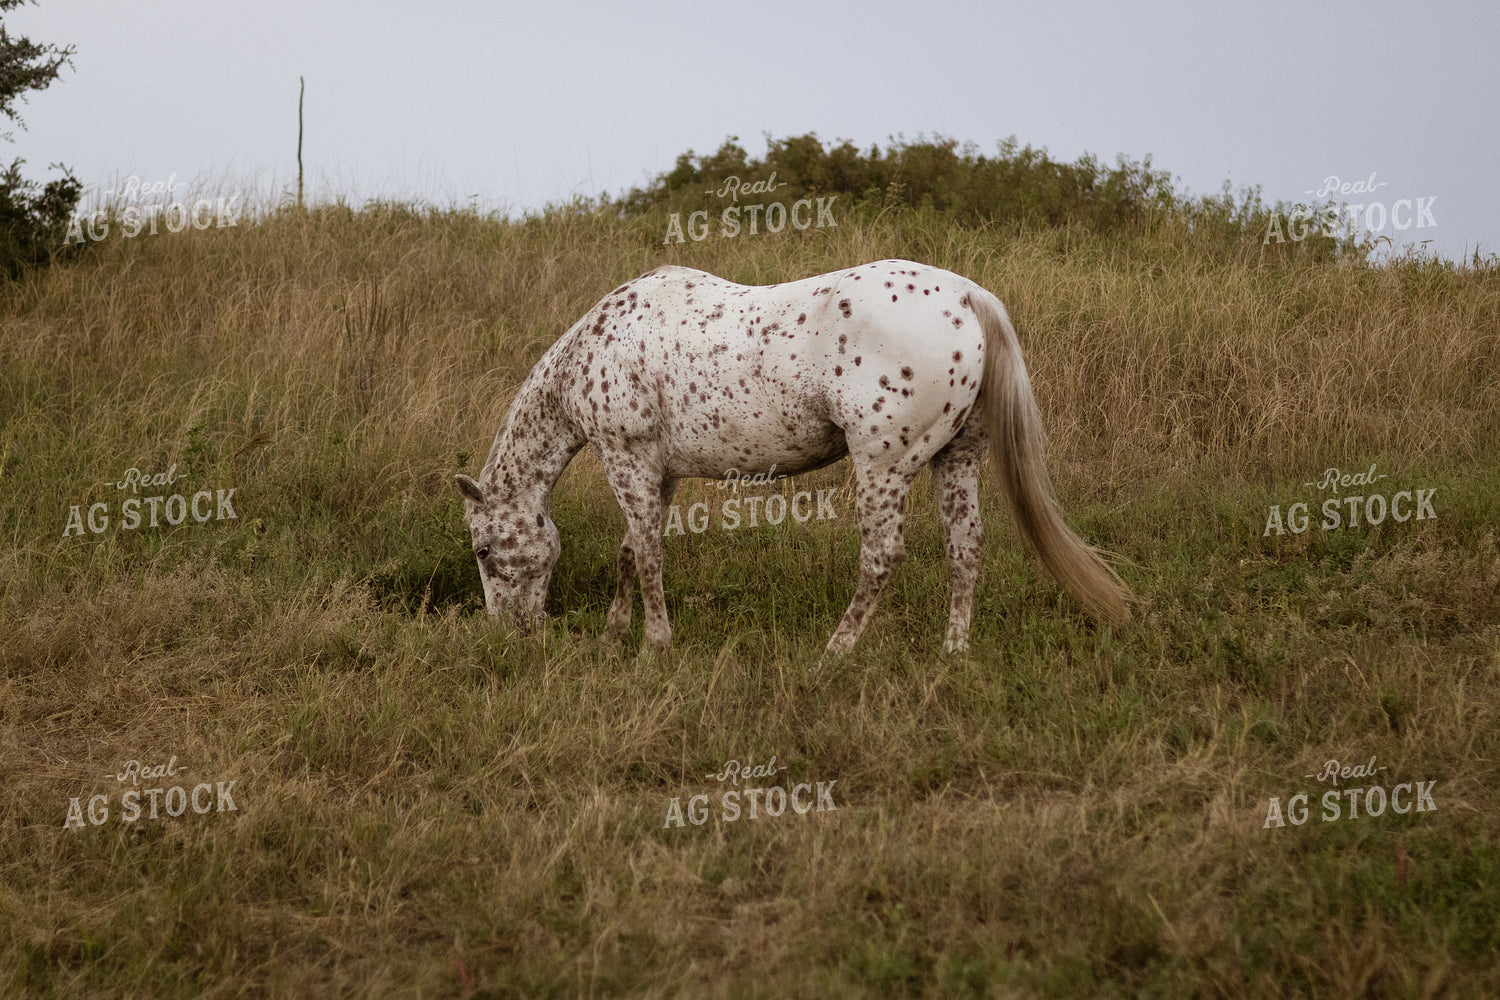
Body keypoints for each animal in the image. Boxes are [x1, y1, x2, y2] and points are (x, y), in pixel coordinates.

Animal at [455, 259, 1130, 656]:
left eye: (484, 551)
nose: (509, 633)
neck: (598, 348)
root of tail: (968, 297)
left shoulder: (628, 459)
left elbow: (646, 554)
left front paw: (653, 645)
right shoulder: (658, 473)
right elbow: (631, 551)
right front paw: (614, 636)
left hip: (883, 467)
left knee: (882, 558)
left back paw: (835, 653)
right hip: (957, 459)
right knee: (965, 547)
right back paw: (953, 652)